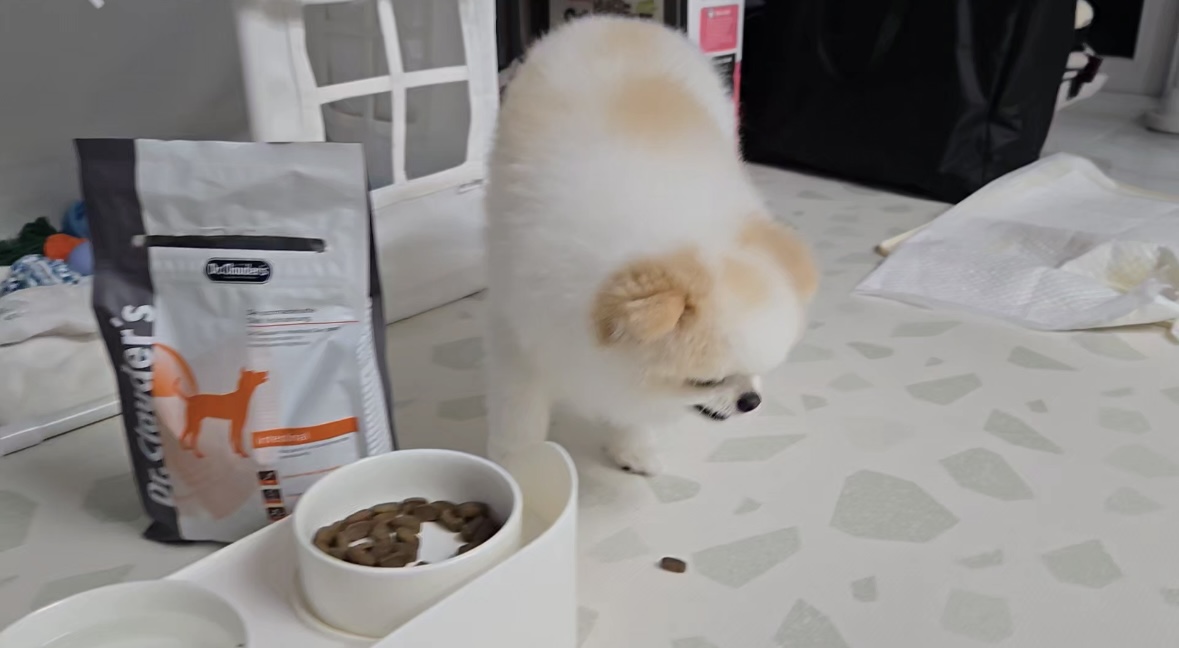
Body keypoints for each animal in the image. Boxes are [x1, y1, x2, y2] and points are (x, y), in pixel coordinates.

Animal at [484, 17, 817, 475]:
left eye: (759, 372)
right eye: (706, 382)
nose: (751, 400)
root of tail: (619, 20)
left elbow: (631, 413)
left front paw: (633, 449)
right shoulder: (518, 335)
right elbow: (519, 415)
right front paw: (519, 470)